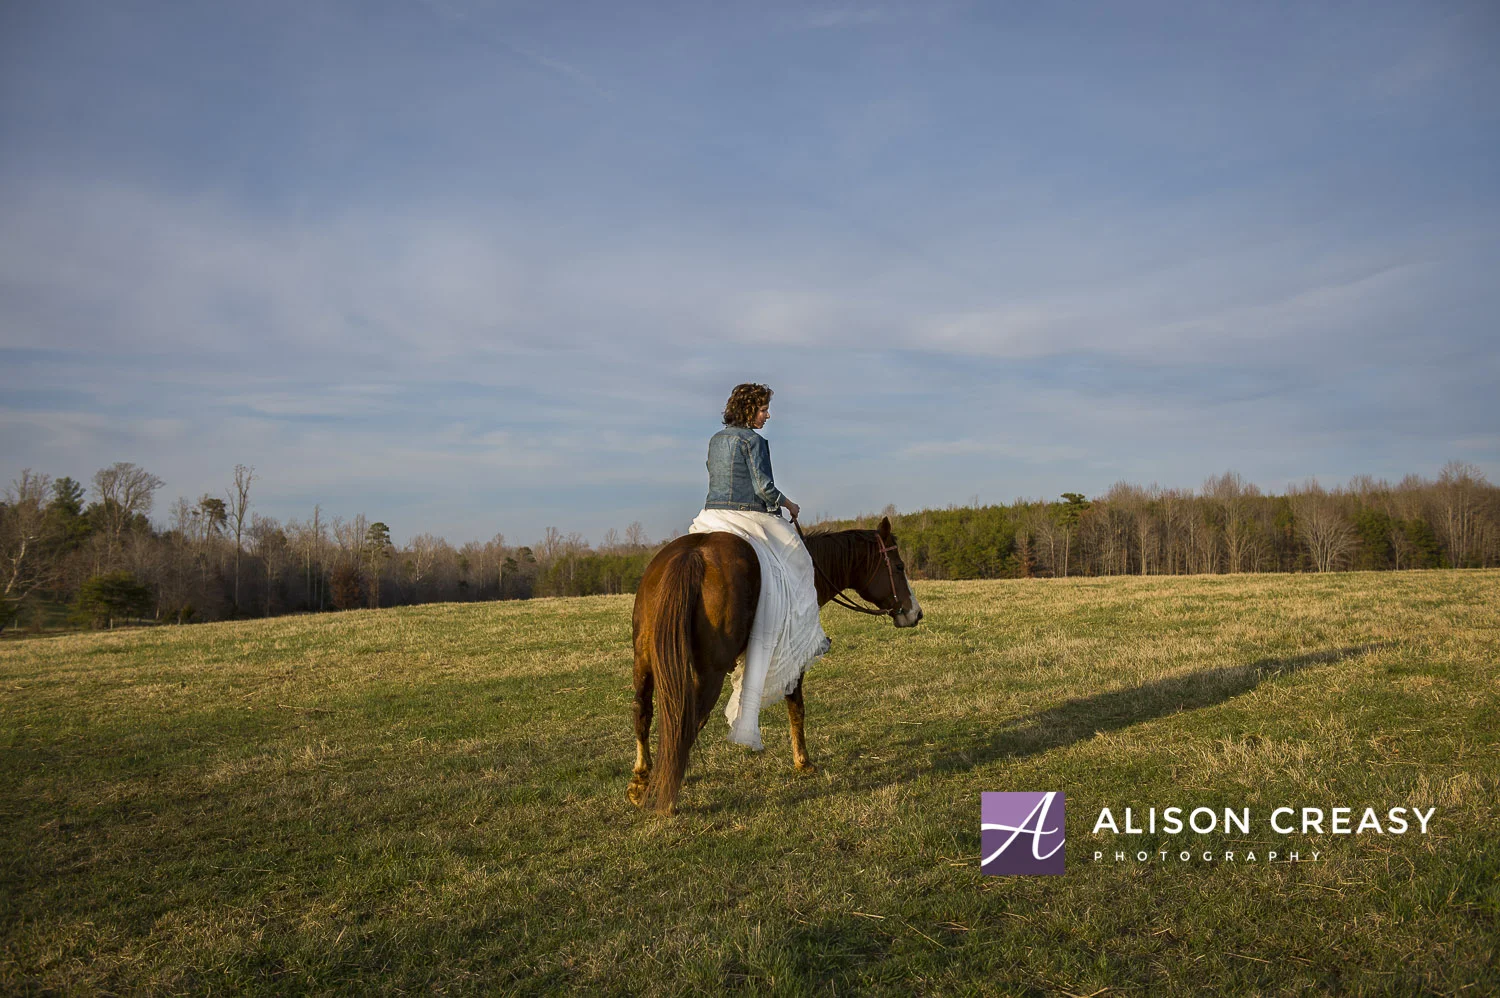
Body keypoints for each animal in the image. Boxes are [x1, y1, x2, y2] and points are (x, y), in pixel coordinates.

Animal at [627, 515, 923, 813]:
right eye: (899, 566)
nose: (916, 613)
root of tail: (693, 555)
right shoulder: (795, 656)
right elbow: (797, 707)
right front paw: (803, 761)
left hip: (644, 659)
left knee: (643, 711)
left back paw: (642, 781)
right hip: (710, 672)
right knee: (685, 723)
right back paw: (666, 796)